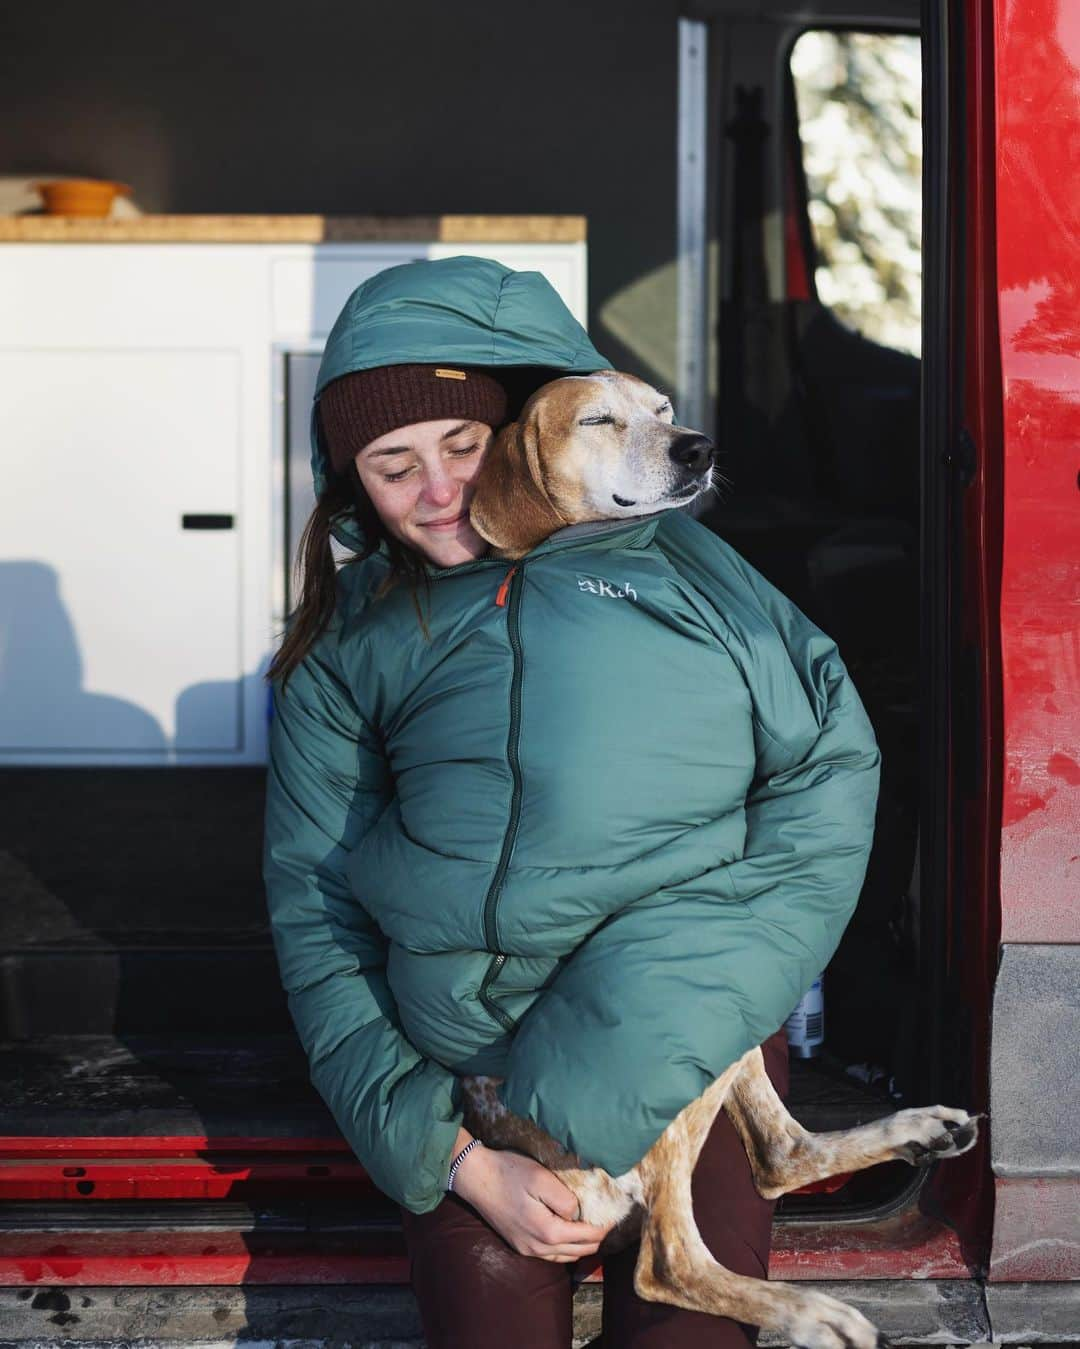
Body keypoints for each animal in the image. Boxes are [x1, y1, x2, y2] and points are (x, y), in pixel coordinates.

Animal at [458, 372, 981, 1349]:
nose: (697, 446)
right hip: (671, 1066)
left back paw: (919, 1128)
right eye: (598, 418)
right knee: (671, 1259)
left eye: (664, 410)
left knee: (780, 1152)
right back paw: (813, 1310)